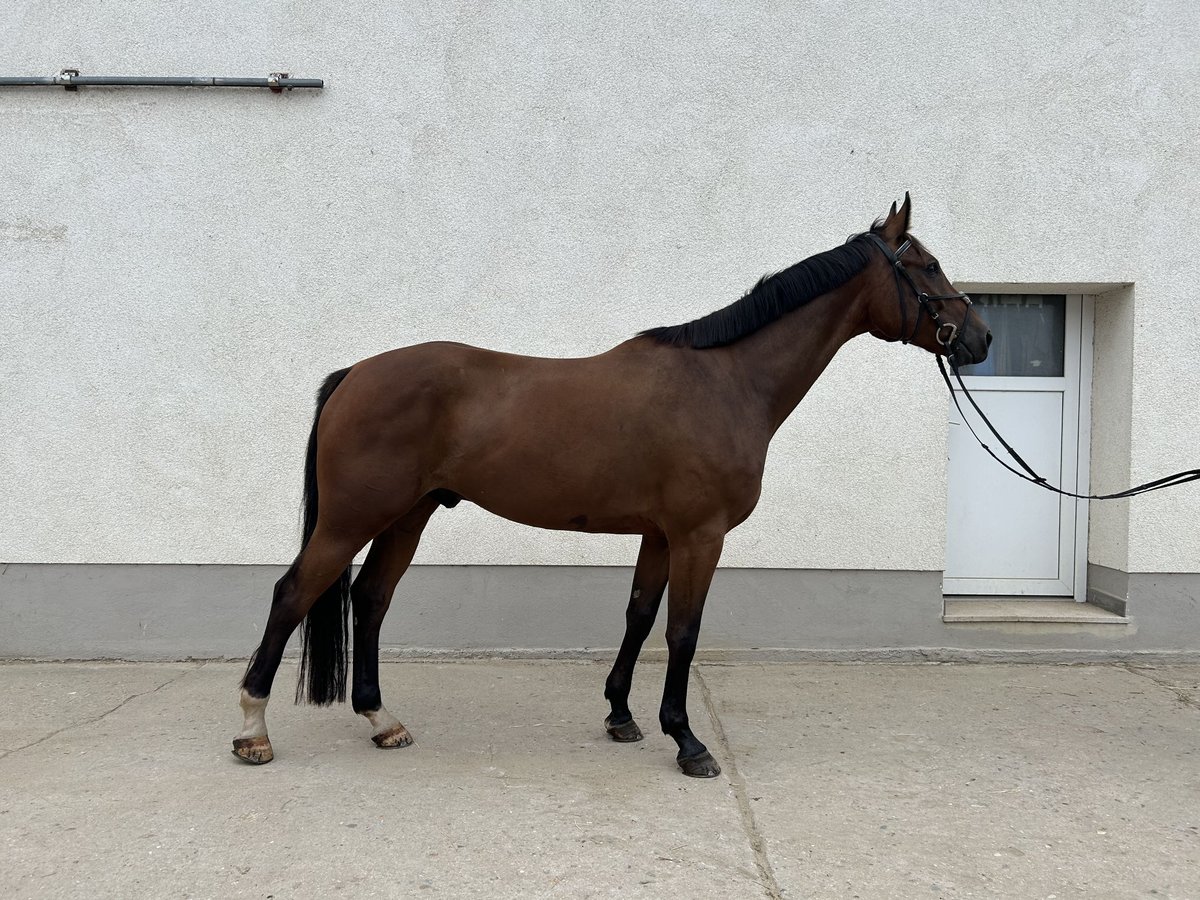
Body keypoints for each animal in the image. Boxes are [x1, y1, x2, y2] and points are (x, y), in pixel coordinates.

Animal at [236, 195, 993, 777]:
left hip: (408, 515)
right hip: (352, 518)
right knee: (292, 593)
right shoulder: (699, 536)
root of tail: (354, 374)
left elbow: (638, 615)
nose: (980, 339)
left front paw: (622, 715)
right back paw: (252, 729)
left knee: (370, 599)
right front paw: (687, 741)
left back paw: (382, 720)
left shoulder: (659, 534)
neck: (726, 382)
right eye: (926, 266)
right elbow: (683, 630)